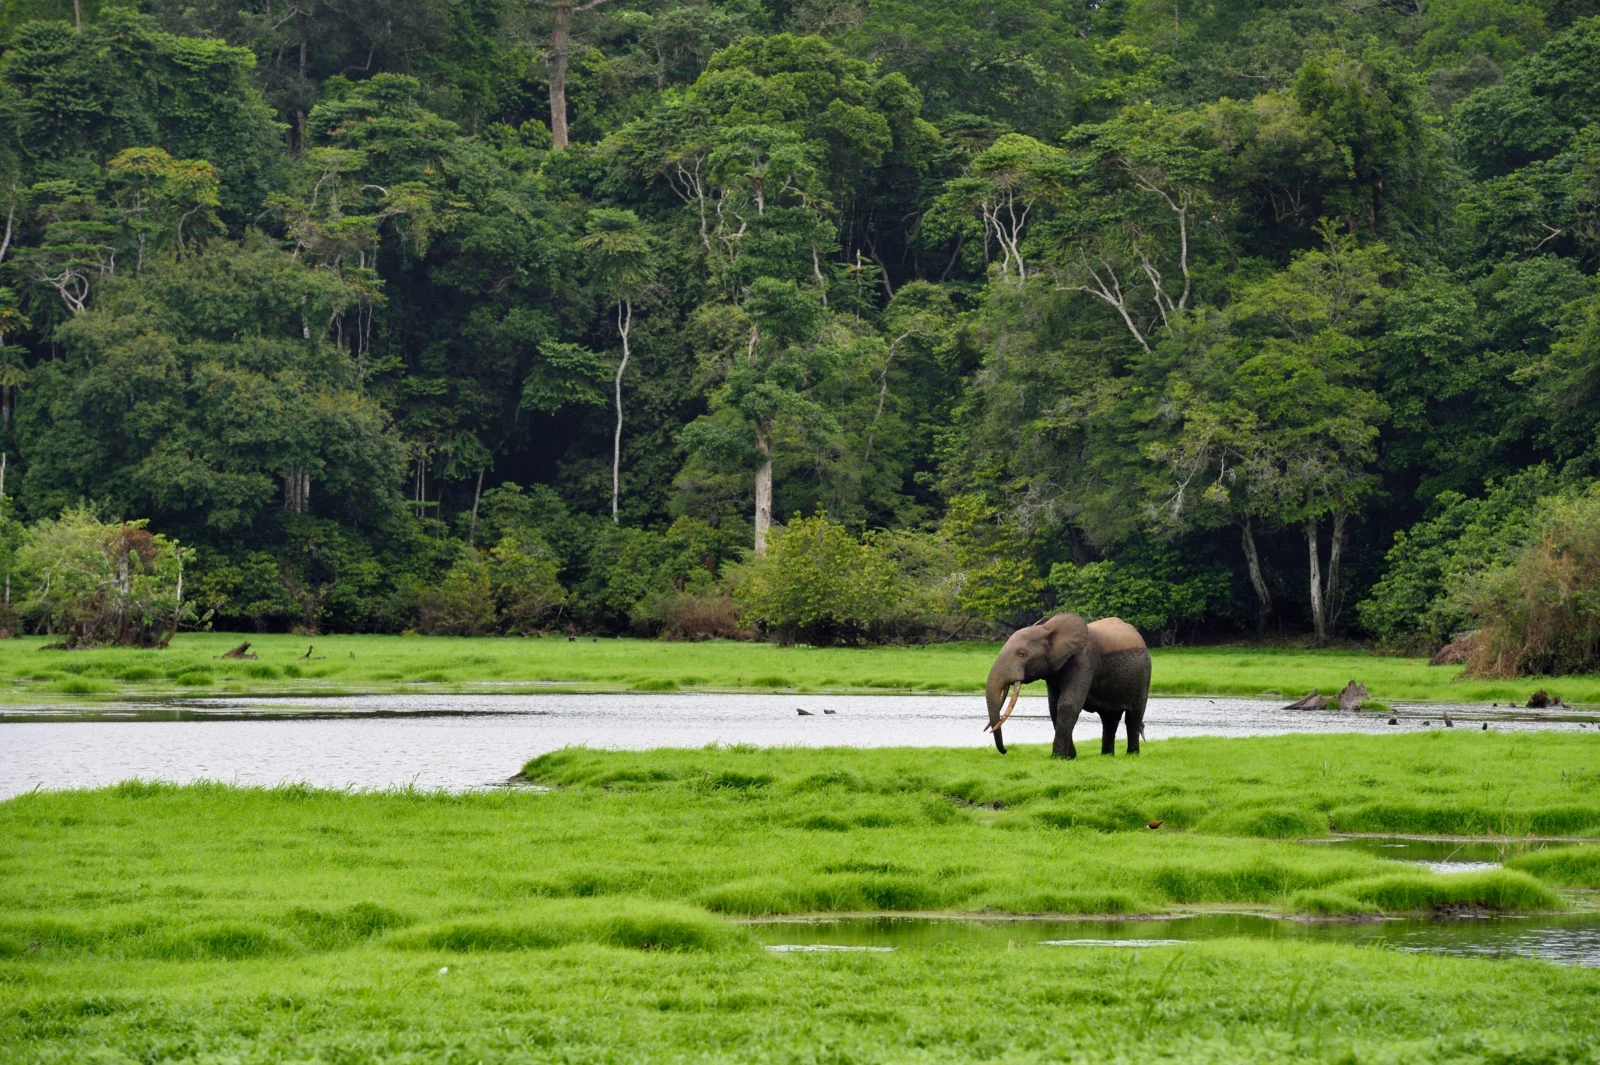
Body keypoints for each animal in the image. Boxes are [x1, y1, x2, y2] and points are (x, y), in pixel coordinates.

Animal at [984, 613, 1151, 759]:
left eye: (1022, 654)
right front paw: (1070, 757)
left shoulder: (1084, 660)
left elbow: (1067, 704)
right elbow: (1053, 707)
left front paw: (1059, 757)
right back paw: (1107, 757)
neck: (1048, 629)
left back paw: (1132, 755)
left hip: (1144, 673)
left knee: (1134, 716)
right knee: (1109, 719)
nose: (1005, 751)